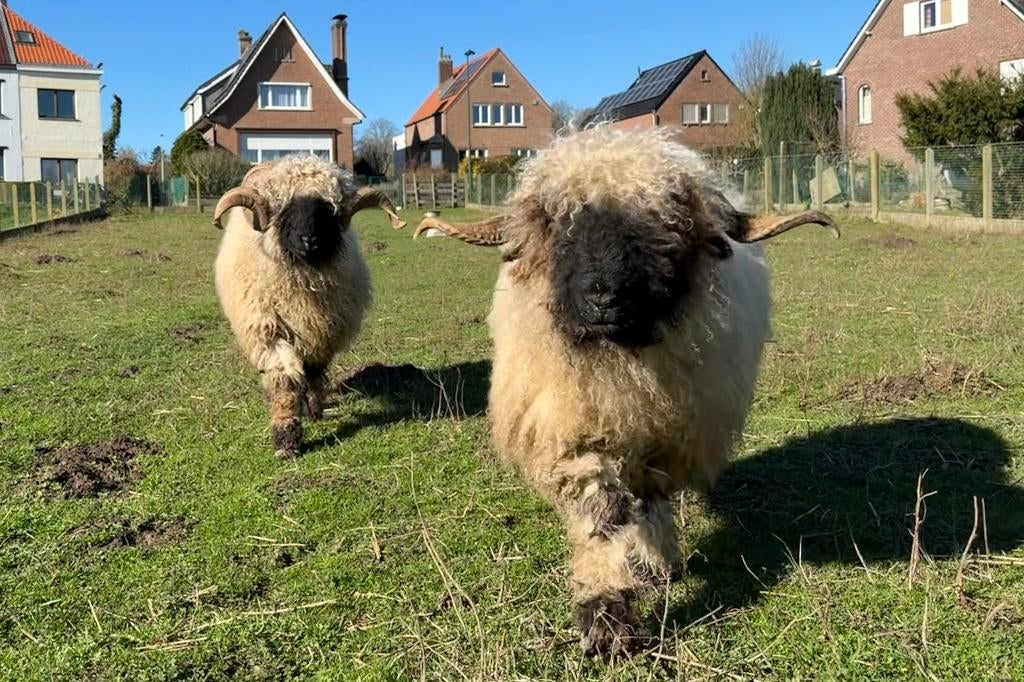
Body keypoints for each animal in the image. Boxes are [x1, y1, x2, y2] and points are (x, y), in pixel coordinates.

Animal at [213, 155, 406, 458]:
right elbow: (284, 382)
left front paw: (313, 411)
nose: (309, 239)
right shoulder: (270, 332)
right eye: (282, 209)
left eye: (329, 209)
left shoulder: (322, 333)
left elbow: (314, 374)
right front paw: (286, 439)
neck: (303, 281)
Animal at [413, 127, 838, 657]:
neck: (619, 366)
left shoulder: (665, 441)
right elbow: (603, 519)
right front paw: (607, 619)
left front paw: (653, 567)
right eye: (555, 222)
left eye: (669, 226)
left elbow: (649, 502)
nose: (603, 296)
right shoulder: (579, 438)